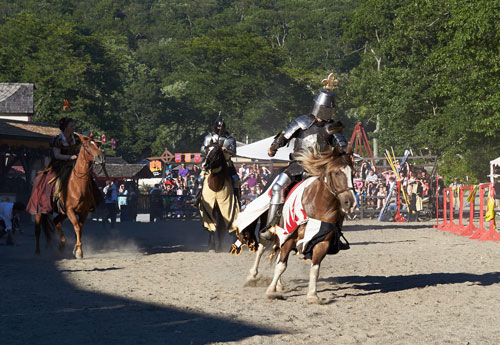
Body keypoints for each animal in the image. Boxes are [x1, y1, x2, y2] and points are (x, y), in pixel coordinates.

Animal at [238, 145, 356, 300]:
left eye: (352, 173)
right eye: (337, 172)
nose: (349, 202)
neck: (317, 204)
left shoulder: (322, 242)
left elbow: (315, 269)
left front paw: (312, 295)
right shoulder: (290, 235)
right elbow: (281, 266)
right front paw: (271, 291)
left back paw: (279, 284)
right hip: (269, 227)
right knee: (262, 248)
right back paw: (252, 276)